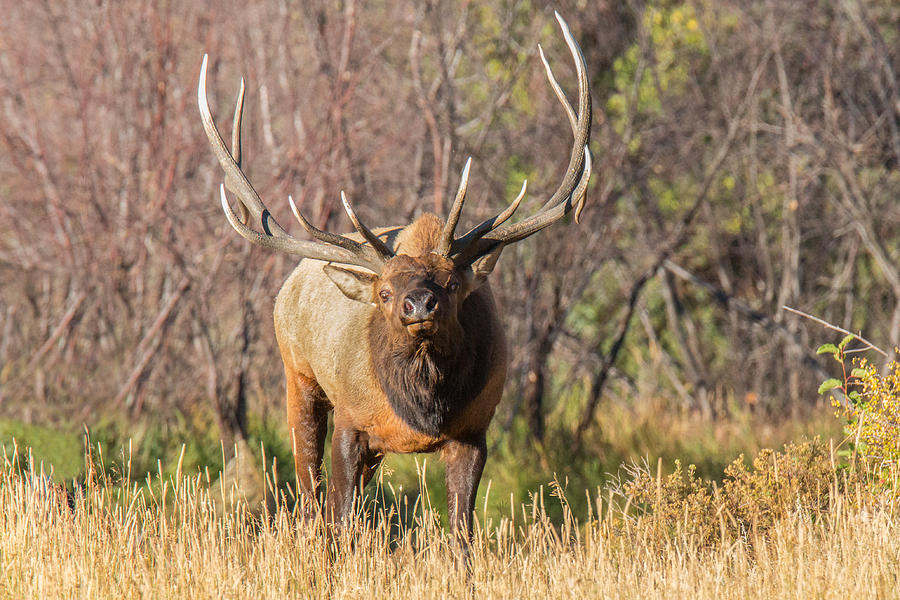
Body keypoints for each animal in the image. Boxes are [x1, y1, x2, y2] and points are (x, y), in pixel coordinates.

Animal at [197, 14, 592, 540]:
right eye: (384, 292)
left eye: (452, 284)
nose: (418, 304)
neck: (422, 412)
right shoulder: (352, 420)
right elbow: (340, 519)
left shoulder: (475, 431)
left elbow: (461, 533)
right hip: (297, 377)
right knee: (309, 496)